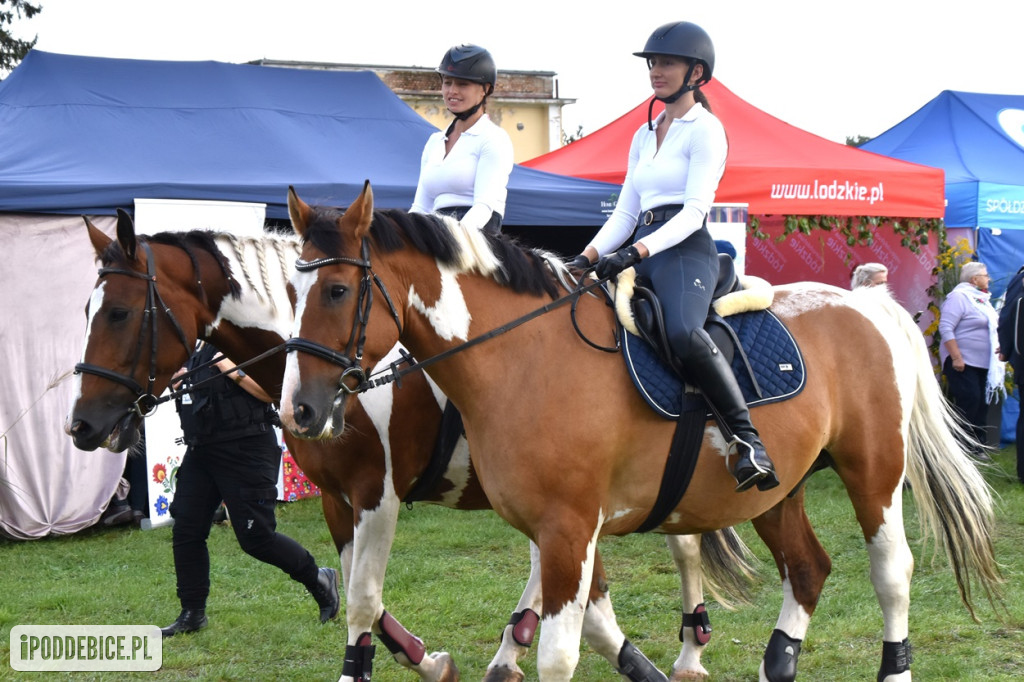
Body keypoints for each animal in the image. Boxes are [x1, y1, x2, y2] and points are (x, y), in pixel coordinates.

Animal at [66, 209, 753, 675]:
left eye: (120, 312)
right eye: (86, 311)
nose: (82, 426)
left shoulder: (380, 494)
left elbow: (364, 599)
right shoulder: (337, 499)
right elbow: (357, 593)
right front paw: (425, 658)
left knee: (684, 544)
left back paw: (688, 648)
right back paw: (525, 645)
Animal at [278, 180, 999, 679]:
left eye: (338, 291)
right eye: (290, 290)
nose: (301, 412)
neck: (523, 355)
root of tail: (866, 302)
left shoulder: (563, 527)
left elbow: (557, 653)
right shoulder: (557, 529)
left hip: (873, 473)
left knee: (892, 573)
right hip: (777, 490)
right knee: (808, 569)